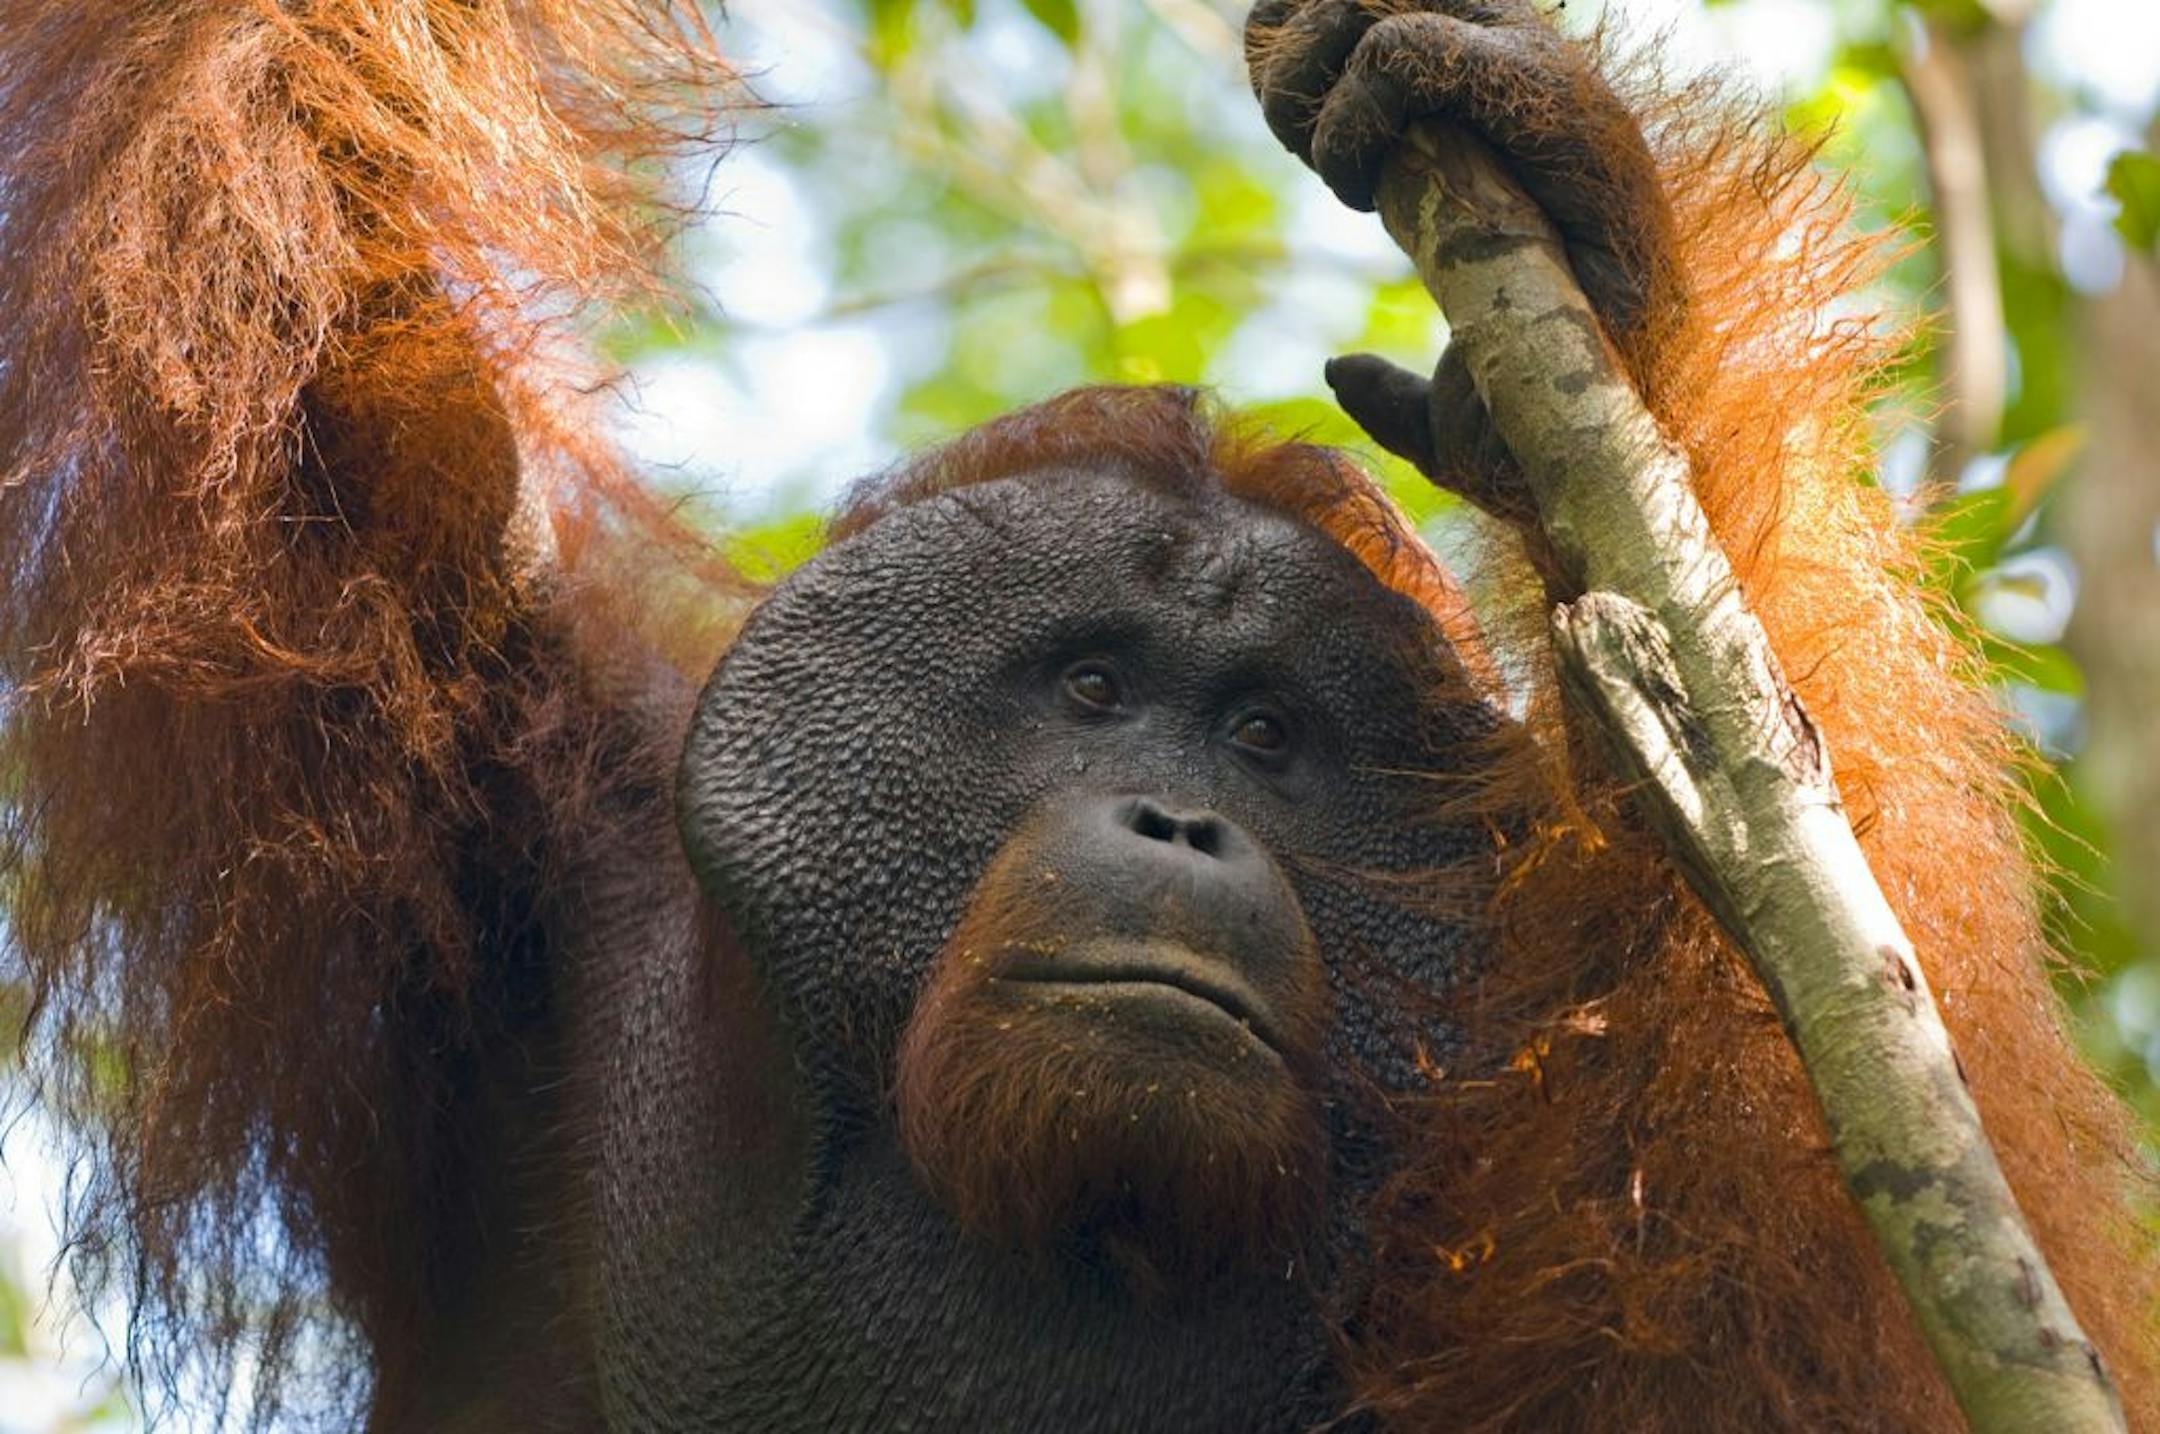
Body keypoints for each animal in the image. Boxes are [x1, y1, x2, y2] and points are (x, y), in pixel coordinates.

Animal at [0, 1, 2150, 1430]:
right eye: (1097, 687)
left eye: (1269, 737)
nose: (1184, 825)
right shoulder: (490, 765)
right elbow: (295, 270)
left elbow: (1838, 1288)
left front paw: (1609, 271)